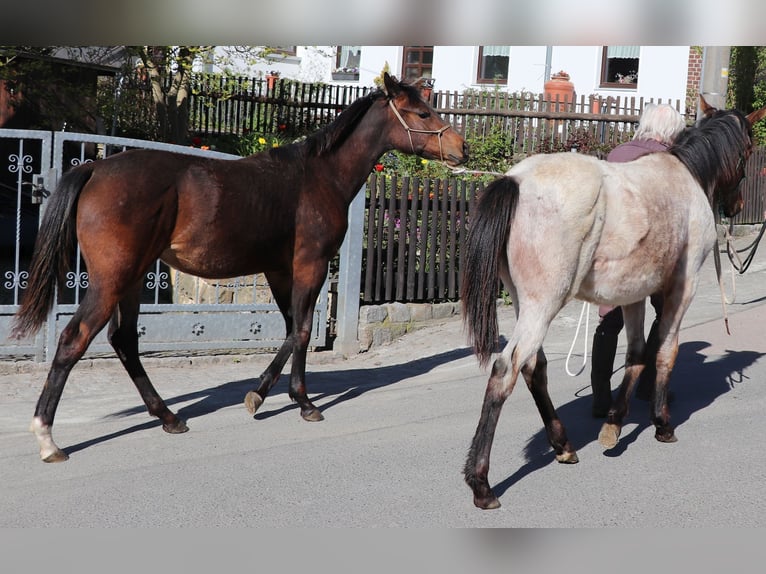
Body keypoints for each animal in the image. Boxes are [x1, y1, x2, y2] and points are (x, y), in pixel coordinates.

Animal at [11, 72, 469, 463]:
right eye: (422, 113)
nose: (461, 148)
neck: (319, 175)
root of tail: (93, 169)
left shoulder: (280, 270)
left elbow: (291, 329)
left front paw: (267, 395)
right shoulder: (310, 265)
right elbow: (303, 330)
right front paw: (298, 402)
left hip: (133, 278)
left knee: (123, 341)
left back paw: (169, 418)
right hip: (112, 279)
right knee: (74, 340)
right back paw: (48, 438)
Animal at [460, 96, 766, 510]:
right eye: (748, 149)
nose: (735, 206)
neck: (684, 176)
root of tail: (517, 181)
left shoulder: (632, 294)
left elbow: (636, 353)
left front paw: (614, 423)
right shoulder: (683, 287)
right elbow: (665, 351)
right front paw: (662, 423)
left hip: (528, 305)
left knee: (533, 368)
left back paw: (563, 445)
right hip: (543, 304)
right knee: (506, 370)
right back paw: (482, 484)